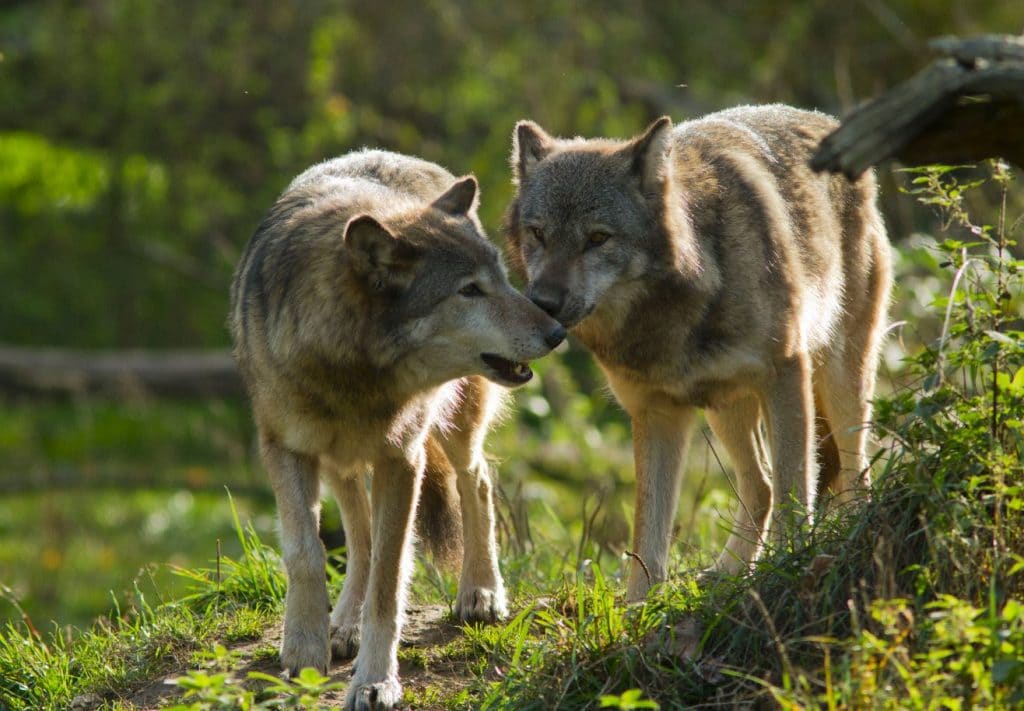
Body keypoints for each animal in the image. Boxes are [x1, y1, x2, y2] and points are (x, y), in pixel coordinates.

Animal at [230, 149, 566, 710]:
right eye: (469, 290)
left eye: (501, 279)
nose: (558, 332)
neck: (353, 368)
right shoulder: (285, 448)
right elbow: (306, 553)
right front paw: (304, 648)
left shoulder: (402, 458)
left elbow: (389, 582)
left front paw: (375, 680)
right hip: (338, 458)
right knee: (359, 532)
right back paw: (343, 624)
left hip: (454, 428)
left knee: (476, 481)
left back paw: (481, 591)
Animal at [505, 105, 892, 601]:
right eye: (537, 233)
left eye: (597, 238)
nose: (544, 302)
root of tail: (825, 121)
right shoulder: (656, 413)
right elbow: (647, 535)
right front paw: (638, 608)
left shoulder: (786, 373)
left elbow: (795, 488)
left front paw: (789, 564)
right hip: (725, 406)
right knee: (760, 485)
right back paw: (729, 572)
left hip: (840, 380)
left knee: (853, 469)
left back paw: (850, 534)